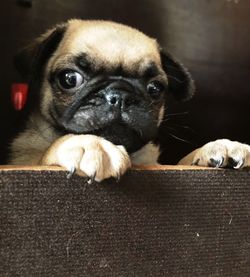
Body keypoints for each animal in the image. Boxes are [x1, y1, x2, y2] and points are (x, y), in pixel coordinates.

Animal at [8, 18, 250, 180]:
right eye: (69, 79)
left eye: (155, 89)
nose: (120, 95)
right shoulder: (24, 161)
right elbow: (47, 152)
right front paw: (89, 144)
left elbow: (182, 161)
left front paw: (217, 146)